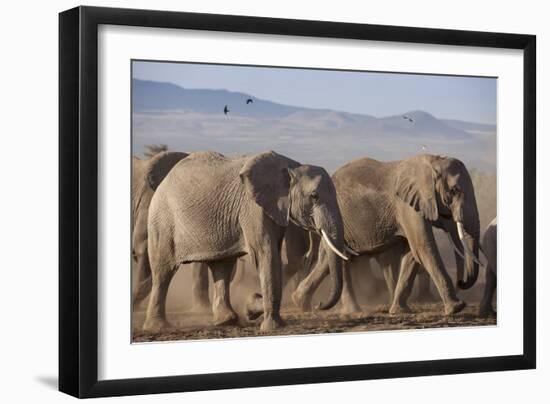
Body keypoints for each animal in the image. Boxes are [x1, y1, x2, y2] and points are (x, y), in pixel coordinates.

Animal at [143, 152, 350, 332]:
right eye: (314, 196)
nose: (318, 305)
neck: (292, 166)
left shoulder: (273, 208)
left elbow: (273, 253)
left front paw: (252, 306)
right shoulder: (252, 207)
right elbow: (266, 253)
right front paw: (271, 326)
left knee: (222, 266)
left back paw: (226, 321)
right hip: (162, 220)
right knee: (163, 270)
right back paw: (158, 327)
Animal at [294, 155, 484, 316]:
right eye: (454, 190)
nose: (462, 283)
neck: (432, 161)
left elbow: (413, 253)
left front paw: (400, 311)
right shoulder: (405, 205)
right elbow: (423, 248)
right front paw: (456, 308)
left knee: (329, 260)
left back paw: (302, 303)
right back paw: (349, 311)